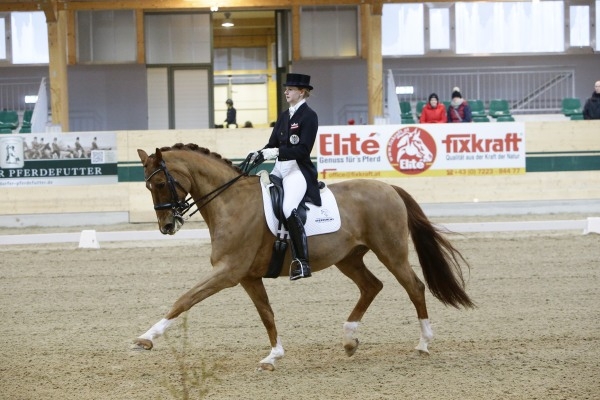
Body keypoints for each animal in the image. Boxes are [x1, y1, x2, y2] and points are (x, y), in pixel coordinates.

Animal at [135, 142, 474, 370]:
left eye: (162, 183)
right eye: (147, 186)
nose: (167, 227)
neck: (231, 202)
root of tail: (389, 187)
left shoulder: (229, 272)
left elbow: (185, 299)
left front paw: (146, 337)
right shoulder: (248, 277)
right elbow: (266, 313)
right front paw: (273, 356)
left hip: (391, 252)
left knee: (414, 287)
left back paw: (423, 343)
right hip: (348, 258)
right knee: (371, 286)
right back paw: (349, 340)